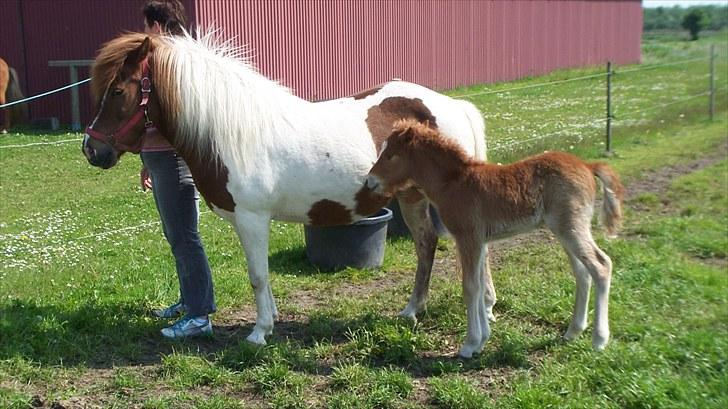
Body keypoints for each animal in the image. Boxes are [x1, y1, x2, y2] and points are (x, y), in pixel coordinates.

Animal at [78, 32, 490, 344]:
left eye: (117, 91)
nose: (91, 150)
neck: (230, 131)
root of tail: (454, 106)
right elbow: (261, 276)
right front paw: (271, 320)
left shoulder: (252, 219)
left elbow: (258, 276)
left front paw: (259, 333)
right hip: (412, 197)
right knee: (426, 245)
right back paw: (412, 311)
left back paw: (483, 308)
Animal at [366, 118, 624, 356]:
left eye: (391, 155)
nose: (369, 181)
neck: (454, 183)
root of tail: (587, 165)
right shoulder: (480, 241)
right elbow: (481, 286)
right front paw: (482, 340)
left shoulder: (468, 238)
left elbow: (470, 287)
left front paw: (469, 345)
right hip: (563, 229)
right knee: (582, 273)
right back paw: (572, 332)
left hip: (571, 226)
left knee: (601, 265)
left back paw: (599, 339)